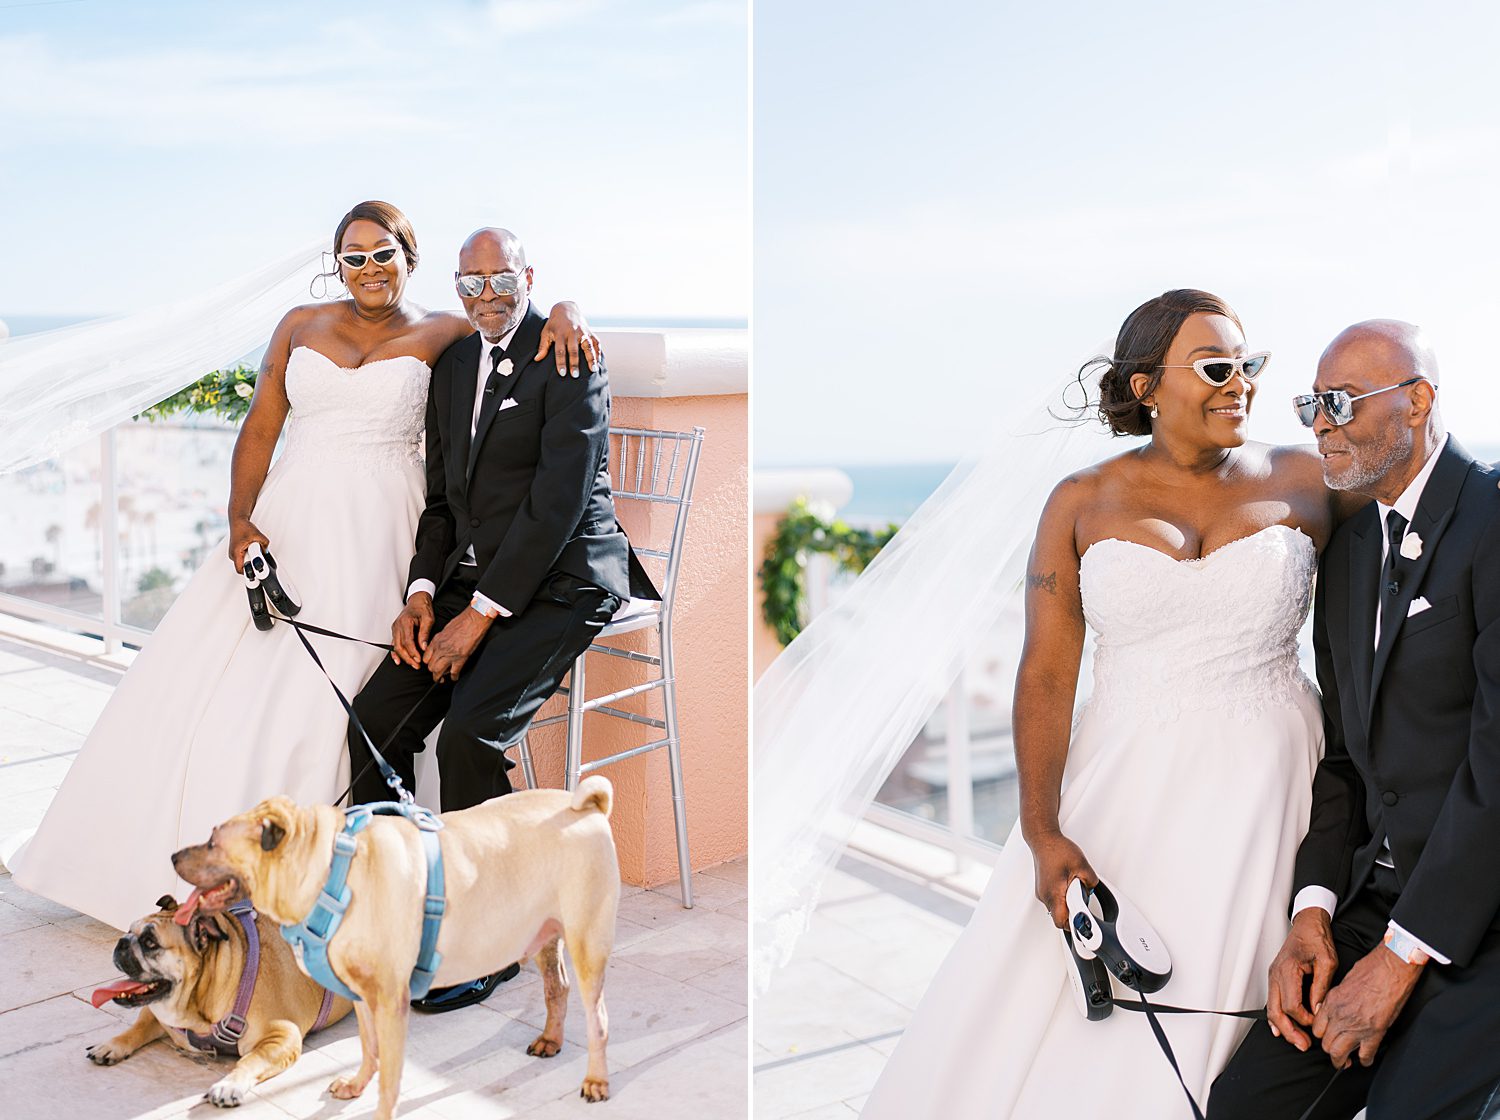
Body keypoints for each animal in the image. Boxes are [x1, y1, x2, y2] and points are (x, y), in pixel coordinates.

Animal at [87, 893, 354, 1103]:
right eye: (129, 931)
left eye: (150, 943)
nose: (122, 941)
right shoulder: (156, 1014)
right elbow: (138, 1027)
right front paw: (111, 1045)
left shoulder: (282, 1036)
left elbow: (250, 1060)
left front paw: (229, 1085)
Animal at [172, 779, 618, 1120]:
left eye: (212, 841)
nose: (173, 854)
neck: (334, 871)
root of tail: (586, 807)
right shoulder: (362, 997)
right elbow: (369, 1050)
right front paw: (356, 1085)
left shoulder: (390, 1001)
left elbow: (390, 1078)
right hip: (546, 936)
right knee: (556, 988)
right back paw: (551, 1040)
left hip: (587, 943)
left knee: (598, 1018)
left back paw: (596, 1080)